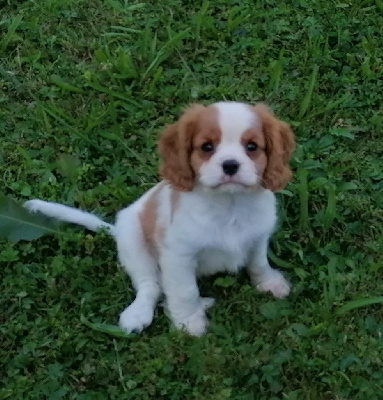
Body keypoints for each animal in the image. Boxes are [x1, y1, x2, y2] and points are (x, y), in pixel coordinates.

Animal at [25, 101, 296, 336]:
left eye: (252, 147)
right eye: (207, 147)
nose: (230, 165)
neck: (230, 203)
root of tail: (116, 229)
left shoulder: (258, 237)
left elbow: (258, 263)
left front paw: (270, 283)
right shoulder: (178, 256)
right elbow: (185, 290)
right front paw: (189, 321)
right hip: (133, 241)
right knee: (150, 285)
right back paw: (139, 313)